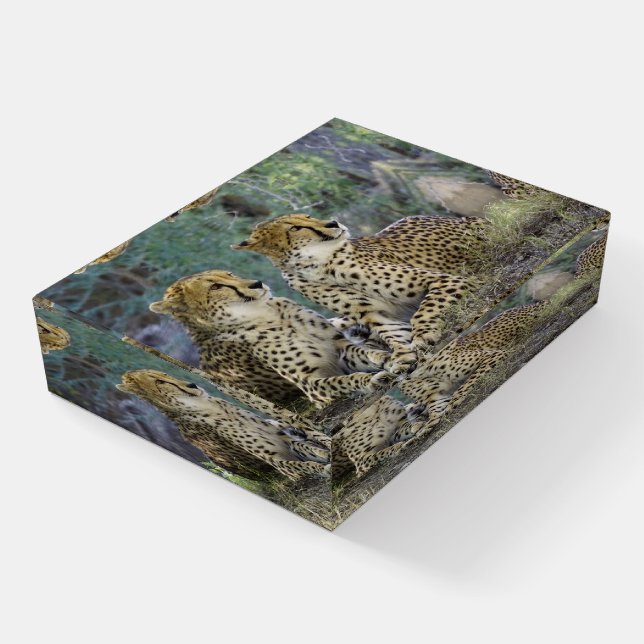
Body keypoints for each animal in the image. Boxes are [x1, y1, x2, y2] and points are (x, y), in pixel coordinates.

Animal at [117, 370, 330, 480]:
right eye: (159, 382)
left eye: (163, 374)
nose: (192, 385)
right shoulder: (282, 467)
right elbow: (303, 464)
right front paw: (325, 468)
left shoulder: (288, 441)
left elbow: (310, 447)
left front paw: (326, 452)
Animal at [149, 270, 392, 408]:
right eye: (216, 286)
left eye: (229, 274)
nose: (257, 283)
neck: (266, 315)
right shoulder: (312, 387)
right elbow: (341, 380)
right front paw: (368, 379)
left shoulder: (339, 346)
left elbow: (364, 352)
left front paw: (387, 357)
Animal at [232, 214, 483, 374]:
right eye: (293, 228)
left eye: (308, 216)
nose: (332, 221)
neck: (319, 265)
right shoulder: (377, 316)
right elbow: (394, 335)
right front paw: (401, 356)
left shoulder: (444, 280)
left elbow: (421, 312)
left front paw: (422, 335)